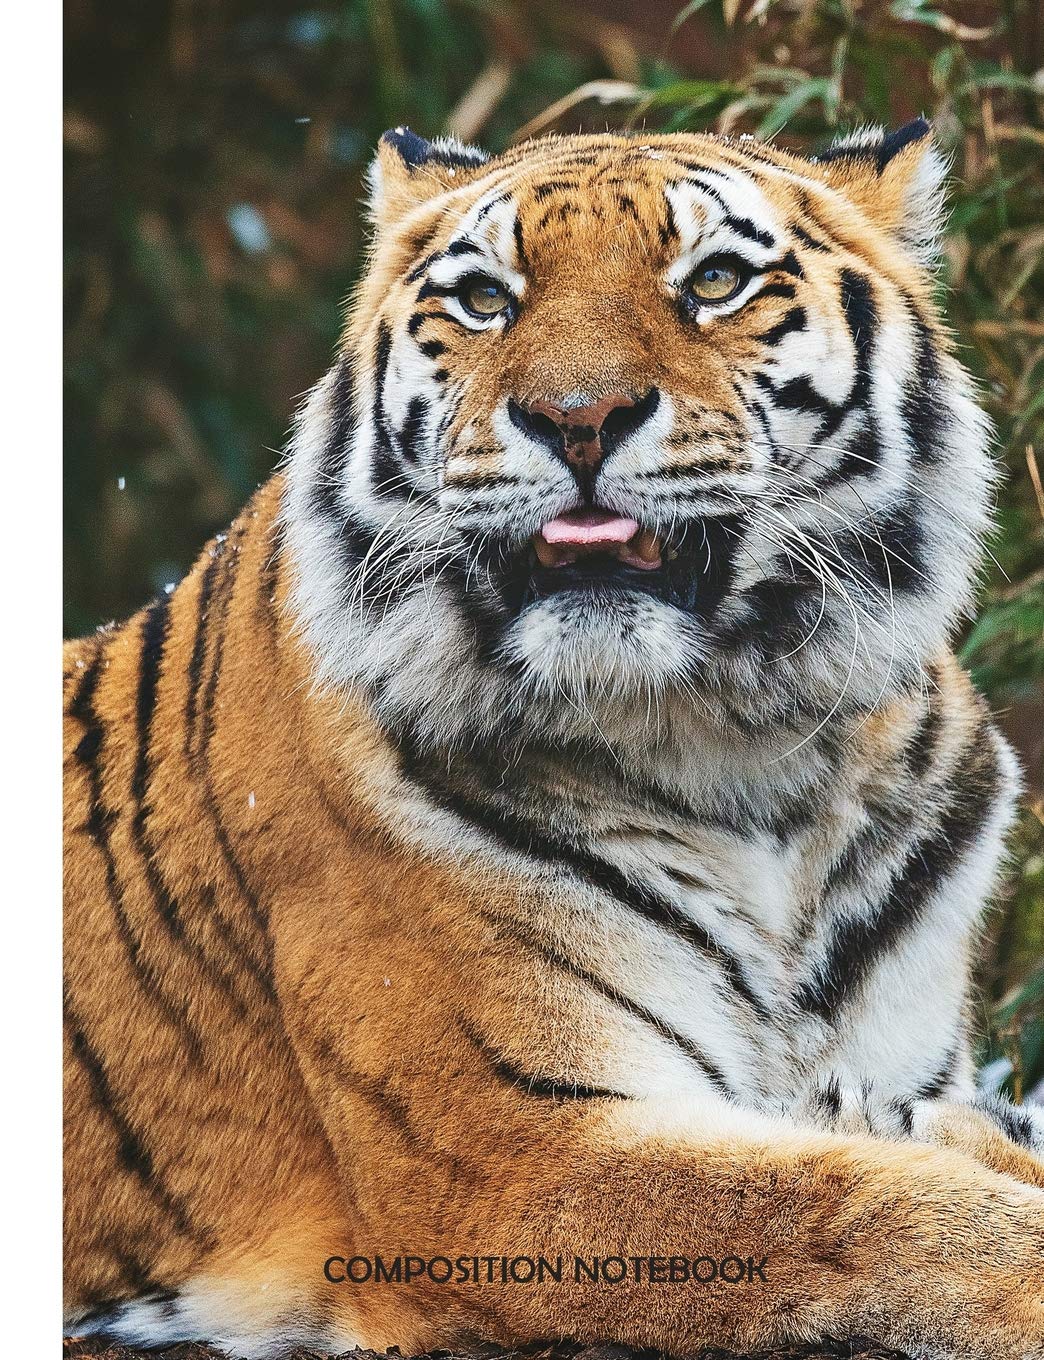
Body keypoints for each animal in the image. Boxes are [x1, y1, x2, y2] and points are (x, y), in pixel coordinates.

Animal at [64, 120, 1044, 1360]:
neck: (742, 751)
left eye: (714, 281)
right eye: (486, 300)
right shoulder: (510, 1157)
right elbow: (869, 1206)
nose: (577, 416)